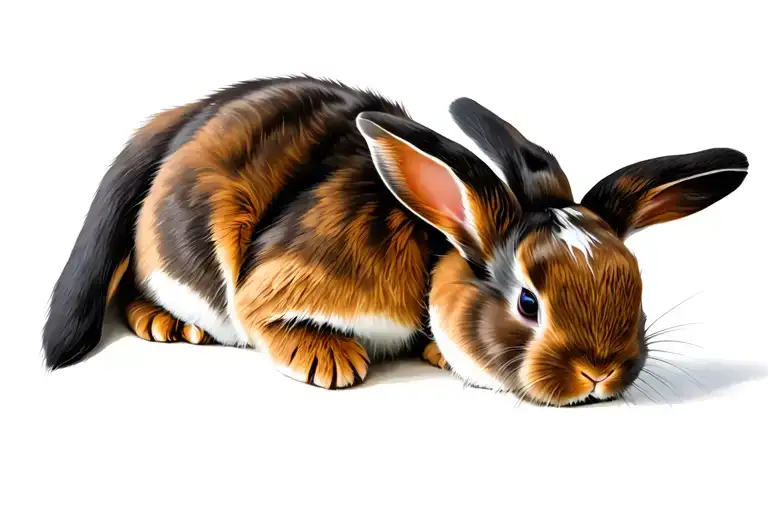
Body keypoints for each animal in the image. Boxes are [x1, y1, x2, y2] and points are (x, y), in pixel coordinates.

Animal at [42, 76, 748, 405]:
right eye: (528, 302)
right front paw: (326, 359)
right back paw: (169, 324)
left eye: (637, 289)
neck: (438, 247)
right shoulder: (287, 277)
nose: (600, 373)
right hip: (176, 255)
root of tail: (175, 120)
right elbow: (262, 314)